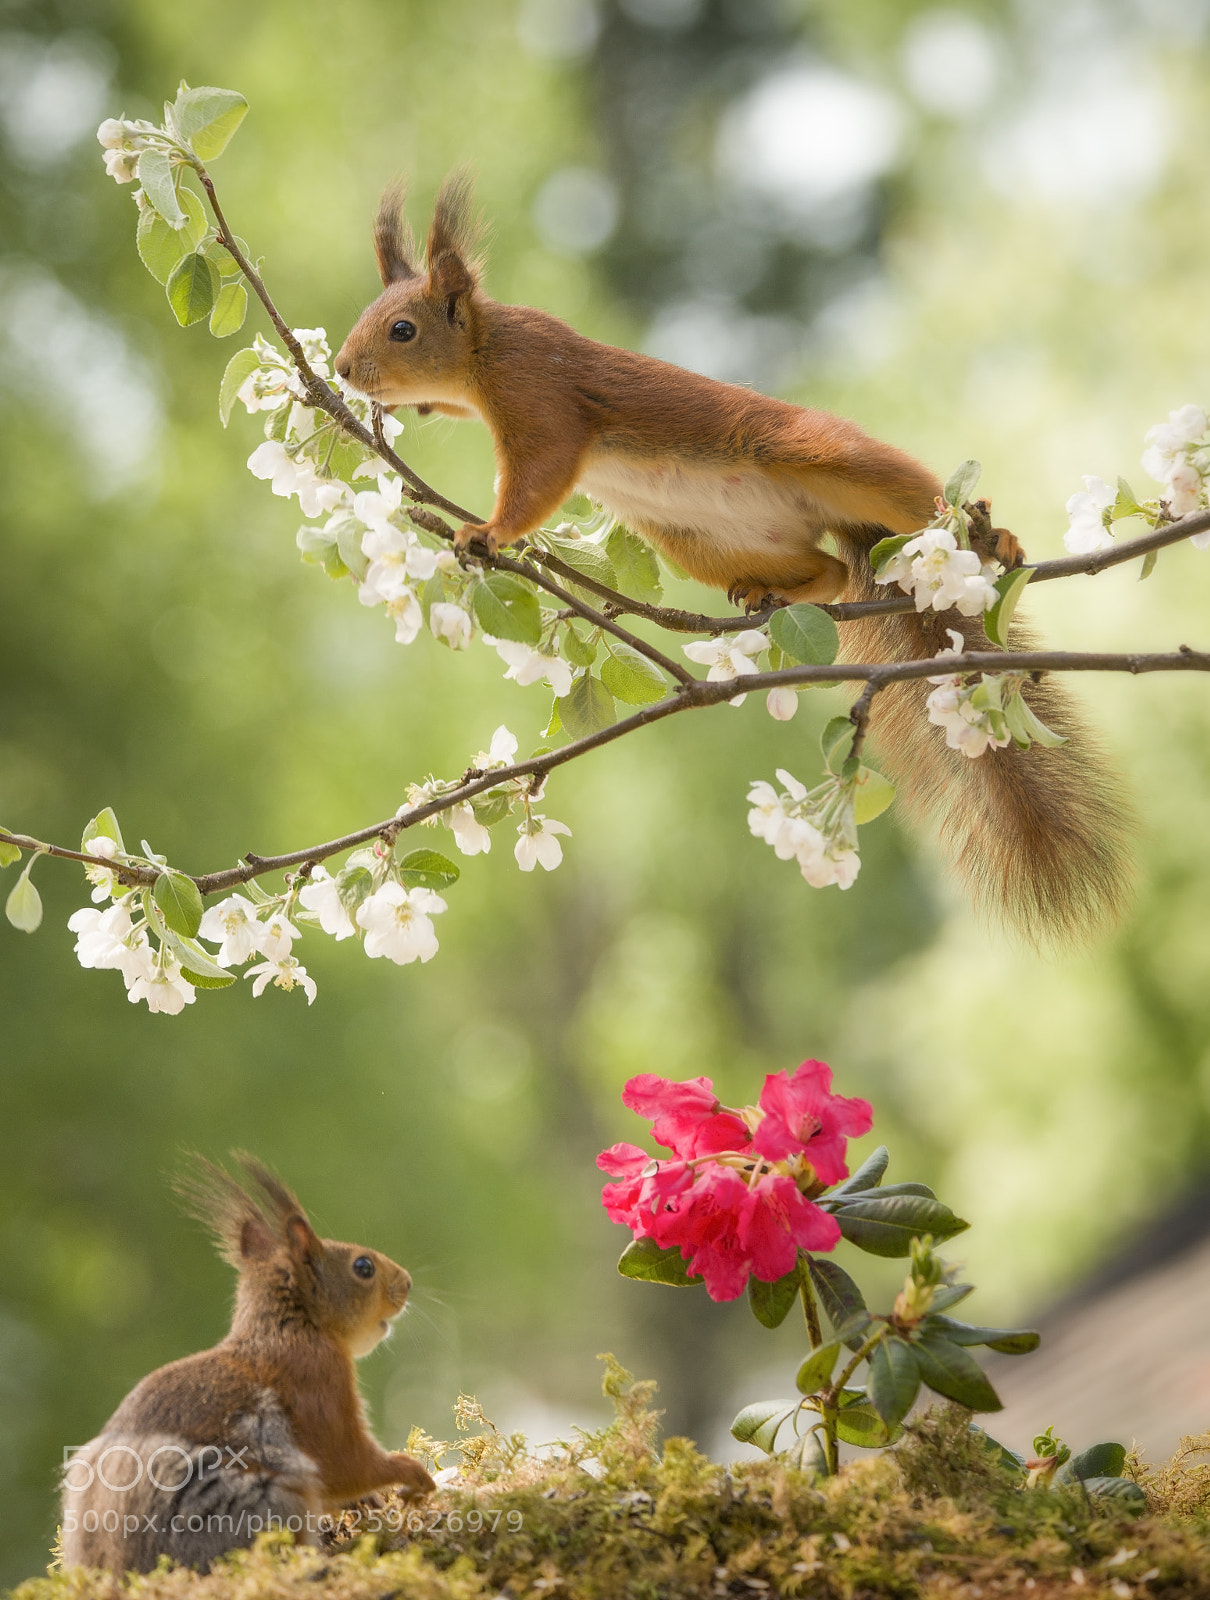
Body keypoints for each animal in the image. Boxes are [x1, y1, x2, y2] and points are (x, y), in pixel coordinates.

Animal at [60, 1155, 433, 1574]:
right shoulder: (317, 1379)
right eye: (364, 1267)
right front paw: (411, 1474)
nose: (407, 1282)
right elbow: (344, 1460)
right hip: (251, 1504)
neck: (290, 1326)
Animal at [334, 177, 1131, 940]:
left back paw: (992, 540)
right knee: (831, 570)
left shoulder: (541, 399)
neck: (484, 350)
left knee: (917, 498)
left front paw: (489, 533)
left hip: (826, 456)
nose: (341, 369)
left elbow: (537, 480)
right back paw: (777, 596)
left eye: (403, 329)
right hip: (700, 542)